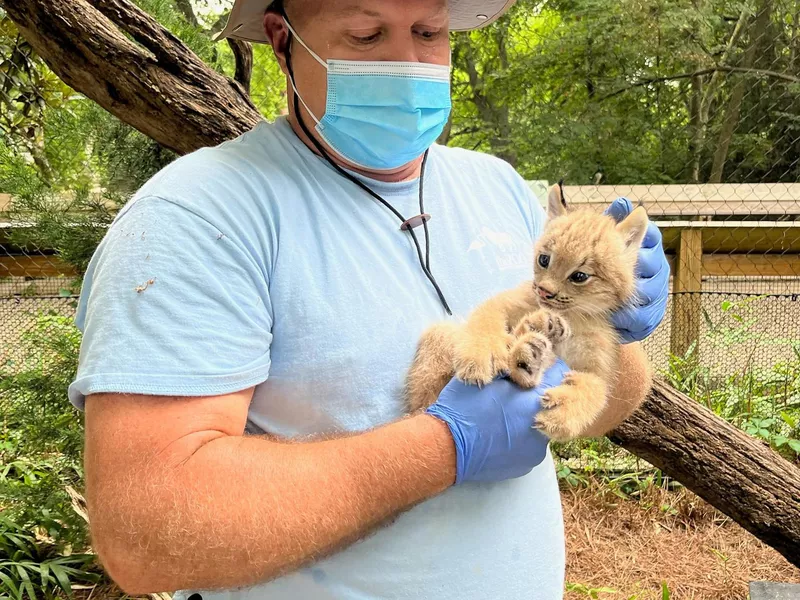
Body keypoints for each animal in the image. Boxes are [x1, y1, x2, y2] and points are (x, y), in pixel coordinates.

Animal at [406, 185, 648, 442]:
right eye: (544, 259)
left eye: (579, 276)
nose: (544, 291)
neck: (573, 316)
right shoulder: (505, 301)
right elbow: (485, 320)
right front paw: (482, 353)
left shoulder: (597, 367)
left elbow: (596, 391)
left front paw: (563, 410)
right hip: (439, 335)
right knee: (423, 402)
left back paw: (531, 352)